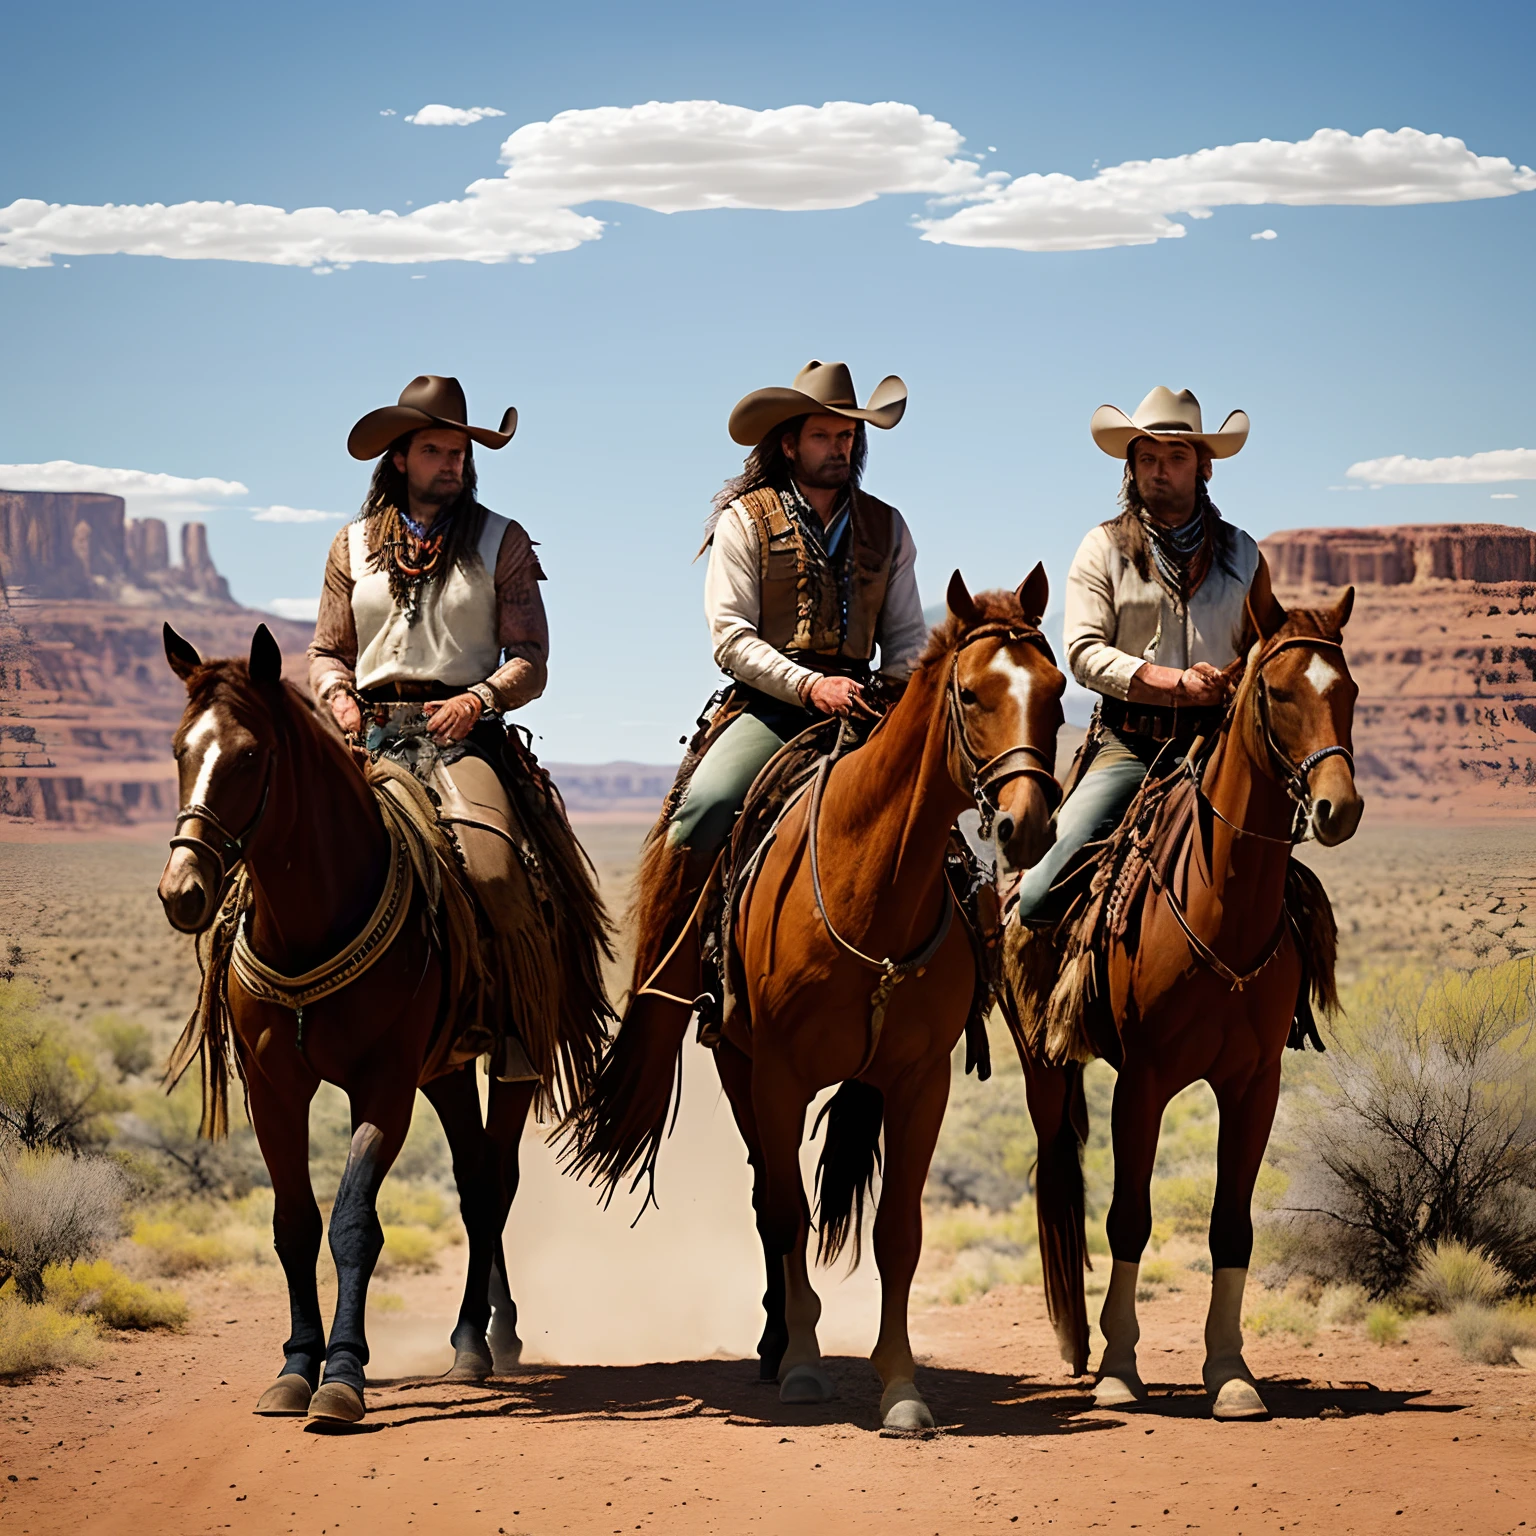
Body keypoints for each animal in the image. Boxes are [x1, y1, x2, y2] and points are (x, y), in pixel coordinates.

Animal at [154, 623, 605, 1425]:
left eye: (249, 755)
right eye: (180, 750)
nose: (184, 892)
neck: (311, 923)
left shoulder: (383, 1087)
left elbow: (354, 1223)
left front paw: (341, 1376)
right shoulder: (274, 1089)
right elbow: (295, 1225)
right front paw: (295, 1366)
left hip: (509, 1058)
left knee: (491, 1184)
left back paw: (480, 1340)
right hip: (447, 1069)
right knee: (471, 1176)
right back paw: (486, 1334)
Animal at [571, 571, 1062, 1431]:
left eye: (1059, 690)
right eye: (971, 694)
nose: (1024, 823)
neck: (868, 883)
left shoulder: (919, 1080)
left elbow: (899, 1230)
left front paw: (901, 1386)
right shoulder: (778, 1076)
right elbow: (789, 1212)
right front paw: (802, 1363)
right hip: (738, 1068)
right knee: (767, 1195)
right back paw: (775, 1347)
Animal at [1001, 583, 1363, 1413]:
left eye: (1351, 692)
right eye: (1278, 691)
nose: (1340, 808)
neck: (1220, 907)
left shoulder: (1255, 1084)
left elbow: (1233, 1224)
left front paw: (1230, 1372)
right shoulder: (1144, 1080)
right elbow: (1128, 1218)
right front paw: (1118, 1368)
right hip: (1044, 1061)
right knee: (1057, 1169)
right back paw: (1075, 1342)